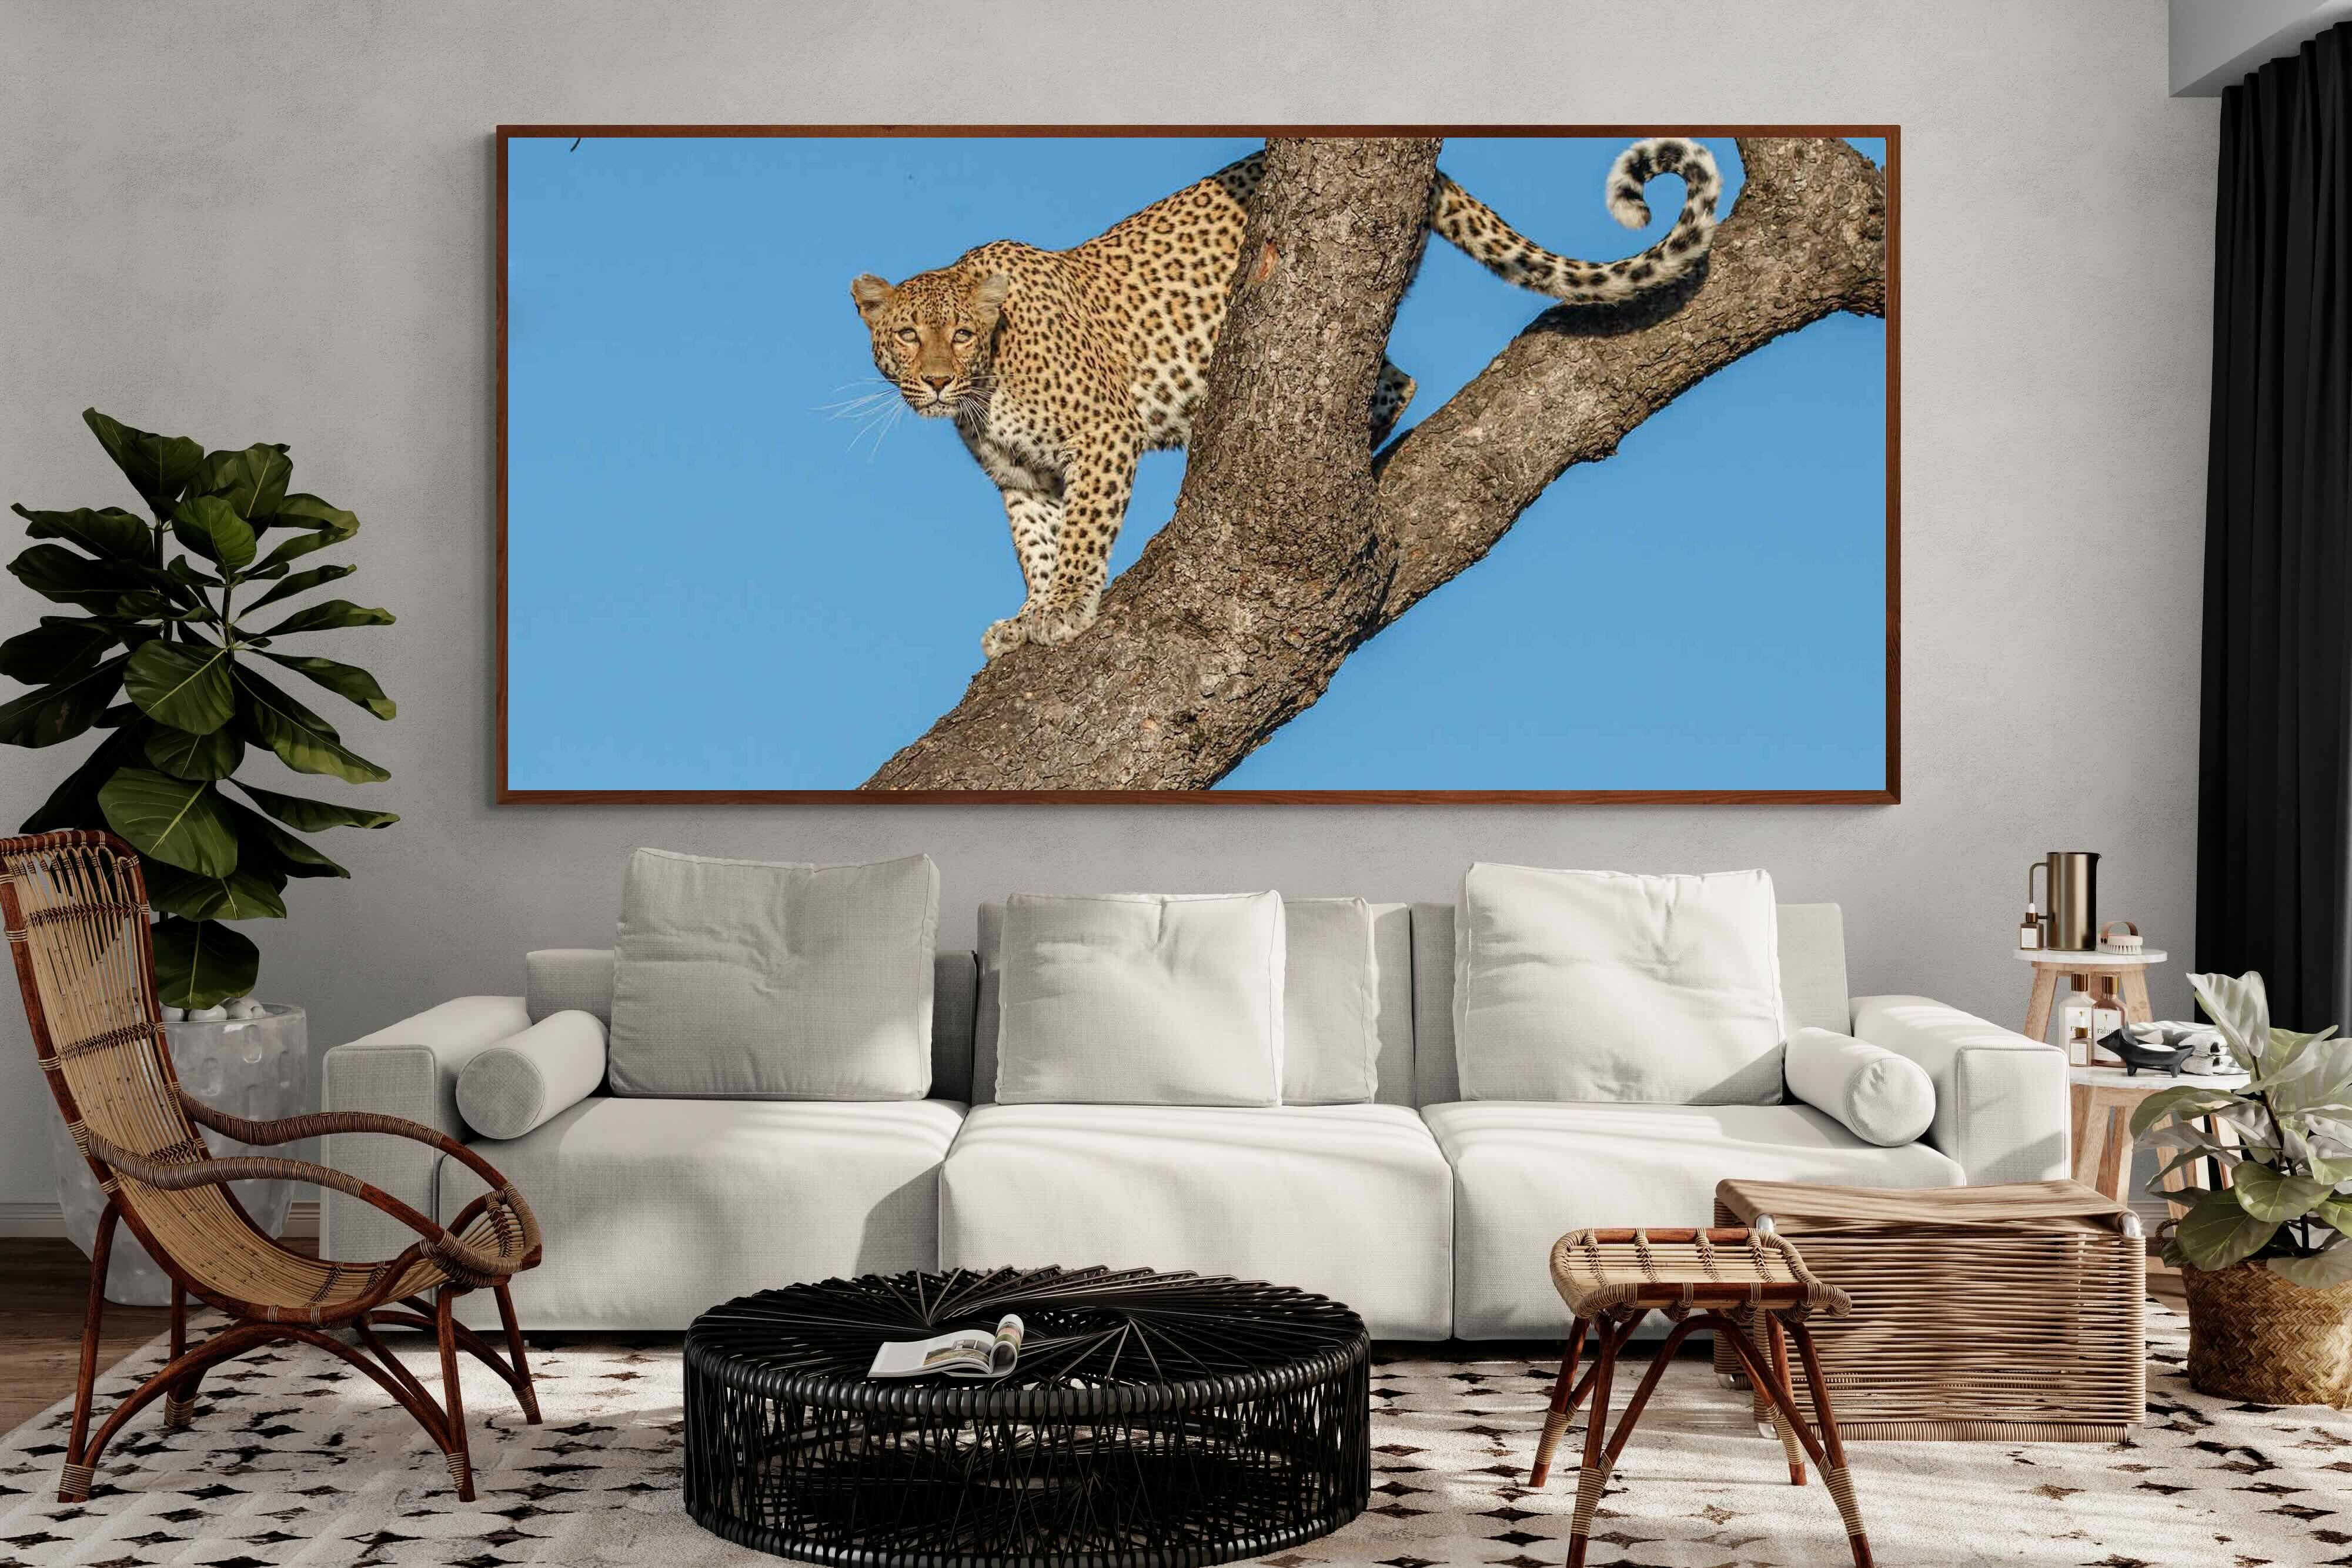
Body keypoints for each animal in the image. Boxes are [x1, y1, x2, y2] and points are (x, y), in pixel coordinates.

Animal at [850, 139, 1722, 659]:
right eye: (906, 335)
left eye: (962, 334)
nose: (935, 379)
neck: (986, 386)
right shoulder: (1023, 478)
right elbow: (1035, 543)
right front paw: (1027, 615)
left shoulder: (1103, 436)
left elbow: (1081, 540)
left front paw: (1065, 607)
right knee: (1397, 380)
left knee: (1391, 383)